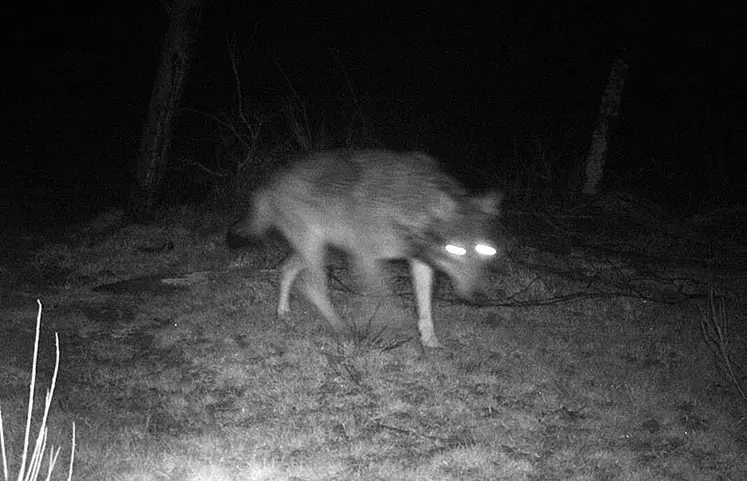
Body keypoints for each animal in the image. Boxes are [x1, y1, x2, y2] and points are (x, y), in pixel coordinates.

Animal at [229, 148, 502, 346]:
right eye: (456, 249)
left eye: (485, 250)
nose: (479, 296)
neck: (409, 206)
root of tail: (269, 183)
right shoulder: (364, 258)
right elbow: (385, 300)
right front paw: (395, 326)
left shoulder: (420, 262)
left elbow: (425, 308)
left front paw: (430, 341)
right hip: (315, 250)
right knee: (313, 287)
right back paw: (341, 329)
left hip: (314, 249)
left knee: (286, 269)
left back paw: (284, 313)